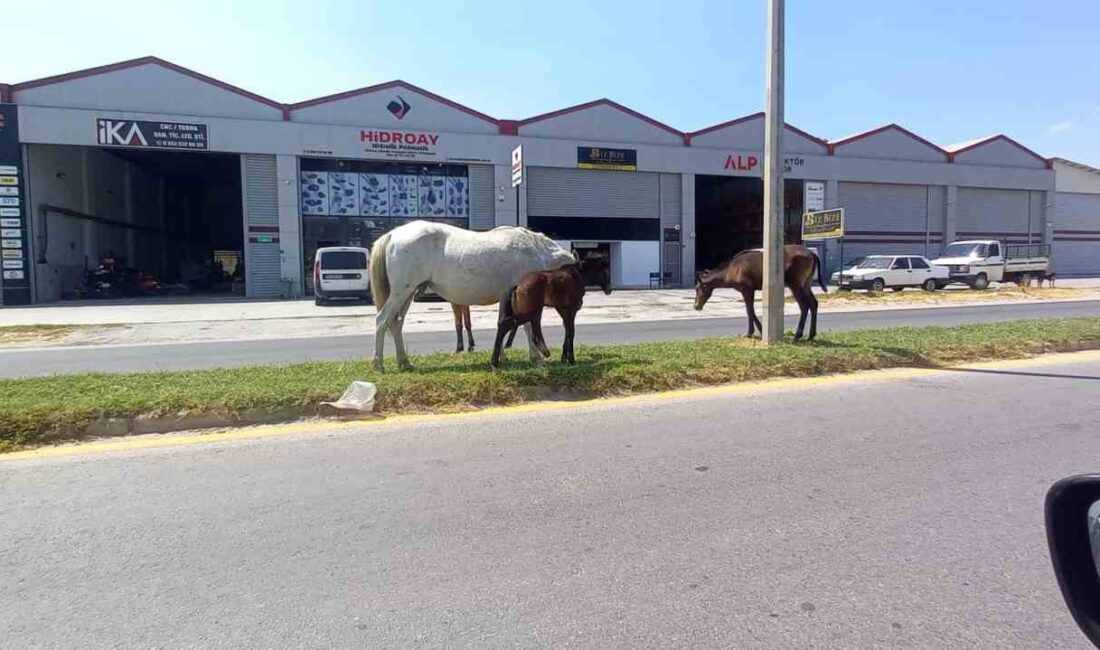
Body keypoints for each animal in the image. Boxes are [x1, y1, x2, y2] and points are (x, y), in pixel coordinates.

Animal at [369, 221, 576, 371]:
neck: (534, 251)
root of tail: (392, 235)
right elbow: (527, 327)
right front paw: (536, 357)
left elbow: (504, 323)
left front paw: (502, 356)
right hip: (401, 292)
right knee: (382, 321)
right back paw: (378, 365)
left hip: (408, 293)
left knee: (396, 323)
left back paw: (404, 362)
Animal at [695, 244, 827, 343]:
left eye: (699, 288)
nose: (696, 306)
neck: (729, 272)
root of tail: (812, 254)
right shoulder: (747, 290)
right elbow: (750, 310)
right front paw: (760, 330)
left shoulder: (747, 289)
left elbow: (750, 310)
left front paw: (752, 332)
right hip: (806, 284)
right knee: (814, 303)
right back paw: (811, 335)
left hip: (795, 284)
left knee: (804, 306)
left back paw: (797, 336)